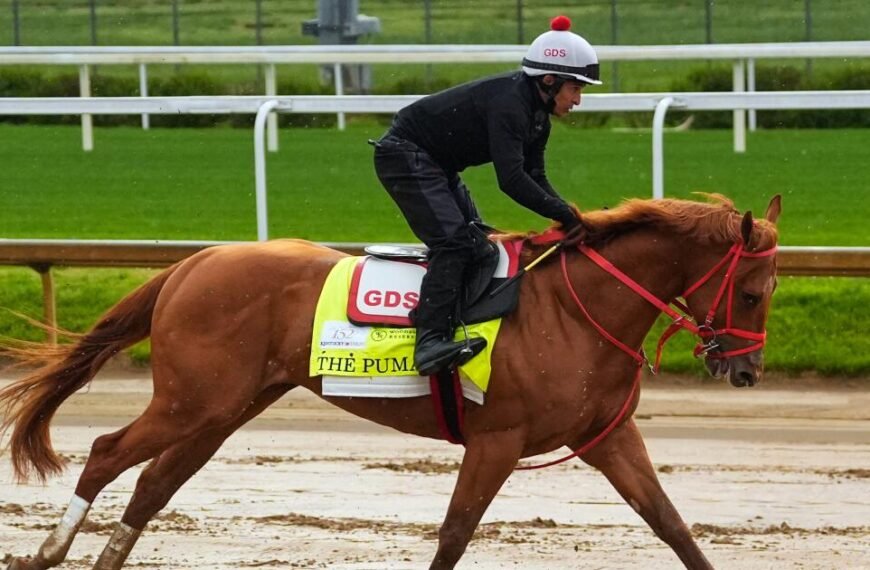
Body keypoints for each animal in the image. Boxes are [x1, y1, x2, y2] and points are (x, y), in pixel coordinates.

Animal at [0, 194, 781, 570]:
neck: (574, 308)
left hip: (223, 409)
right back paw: (48, 552)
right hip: (192, 400)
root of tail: (194, 263)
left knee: (155, 483)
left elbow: (672, 526)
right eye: (750, 292)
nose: (745, 371)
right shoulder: (496, 439)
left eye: (770, 291)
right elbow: (455, 534)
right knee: (107, 452)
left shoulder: (607, 437)